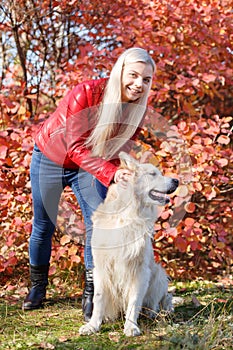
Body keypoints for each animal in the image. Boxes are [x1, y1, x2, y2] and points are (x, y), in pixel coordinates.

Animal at [79, 152, 179, 336]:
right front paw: (93, 325)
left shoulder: (140, 270)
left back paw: (154, 312)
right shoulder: (101, 268)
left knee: (162, 300)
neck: (129, 214)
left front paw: (131, 326)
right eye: (153, 174)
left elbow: (134, 301)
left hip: (158, 273)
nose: (176, 180)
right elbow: (99, 298)